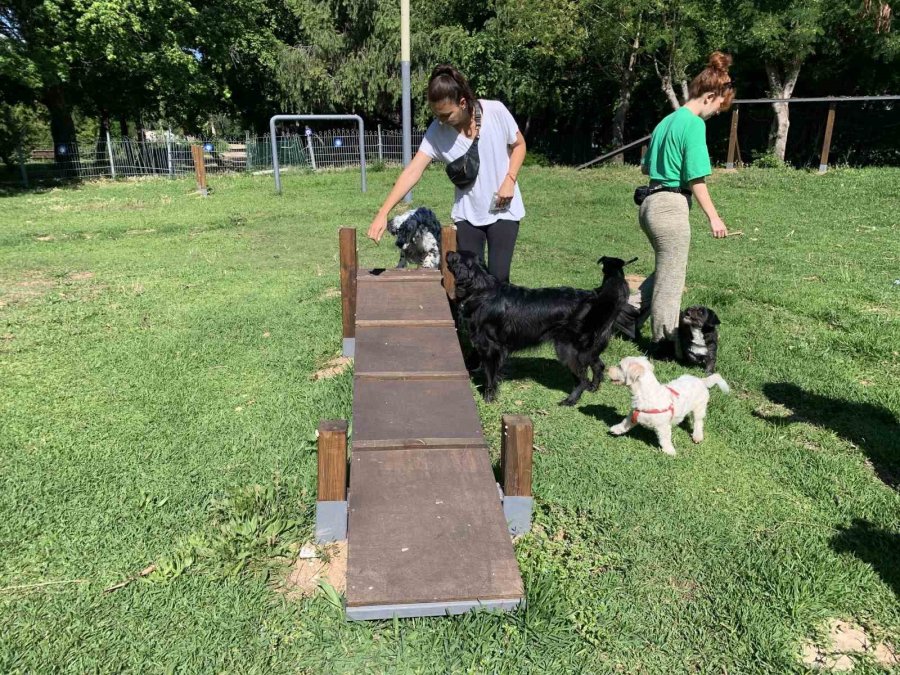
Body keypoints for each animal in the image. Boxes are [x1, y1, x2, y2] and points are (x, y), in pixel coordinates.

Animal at [446, 250, 628, 404]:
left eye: (455, 255)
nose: (447, 252)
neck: (482, 290)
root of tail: (594, 297)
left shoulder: (490, 347)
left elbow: (490, 376)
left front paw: (489, 399)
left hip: (568, 349)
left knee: (582, 378)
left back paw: (570, 401)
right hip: (587, 349)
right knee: (598, 365)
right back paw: (594, 388)